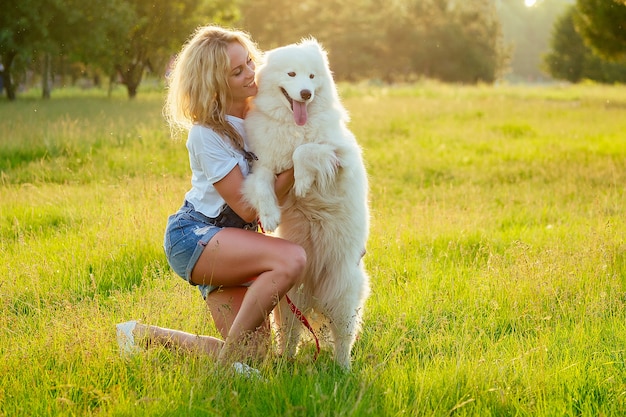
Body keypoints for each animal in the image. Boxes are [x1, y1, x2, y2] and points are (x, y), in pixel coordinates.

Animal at [241, 39, 368, 368]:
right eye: (291, 74)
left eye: (312, 77)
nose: (306, 94)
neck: (294, 124)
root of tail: (313, 290)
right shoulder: (262, 165)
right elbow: (262, 186)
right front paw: (270, 216)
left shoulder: (340, 155)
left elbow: (305, 151)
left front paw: (301, 181)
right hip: (285, 301)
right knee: (291, 335)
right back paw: (284, 363)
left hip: (341, 294)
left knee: (343, 339)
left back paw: (343, 369)